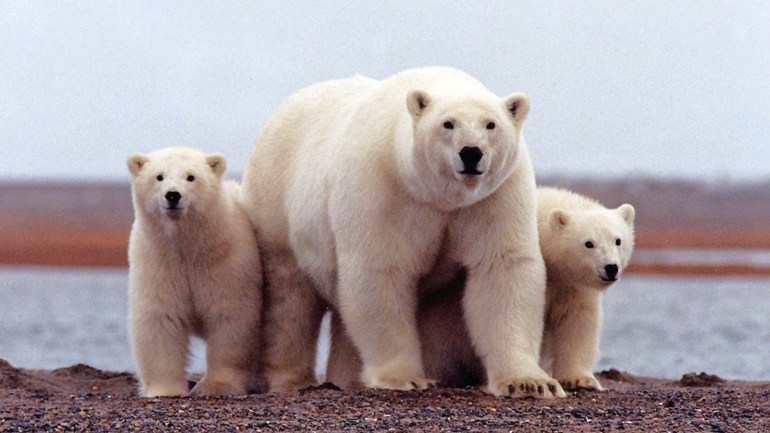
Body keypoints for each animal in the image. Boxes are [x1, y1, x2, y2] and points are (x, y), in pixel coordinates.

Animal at [127, 147, 263, 397]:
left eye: (191, 177)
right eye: (159, 176)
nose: (172, 195)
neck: (188, 248)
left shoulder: (226, 264)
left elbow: (230, 318)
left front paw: (217, 386)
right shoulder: (158, 264)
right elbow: (161, 319)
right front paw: (166, 390)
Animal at [241, 66, 564, 398]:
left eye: (491, 124)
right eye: (448, 123)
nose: (471, 153)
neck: (439, 197)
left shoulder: (494, 196)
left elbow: (502, 268)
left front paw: (529, 382)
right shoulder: (384, 189)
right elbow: (381, 271)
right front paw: (405, 377)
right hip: (277, 205)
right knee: (289, 300)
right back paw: (291, 379)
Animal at [329, 187, 635, 392]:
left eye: (618, 240)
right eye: (588, 243)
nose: (610, 268)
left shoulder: (571, 286)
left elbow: (577, 322)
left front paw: (579, 379)